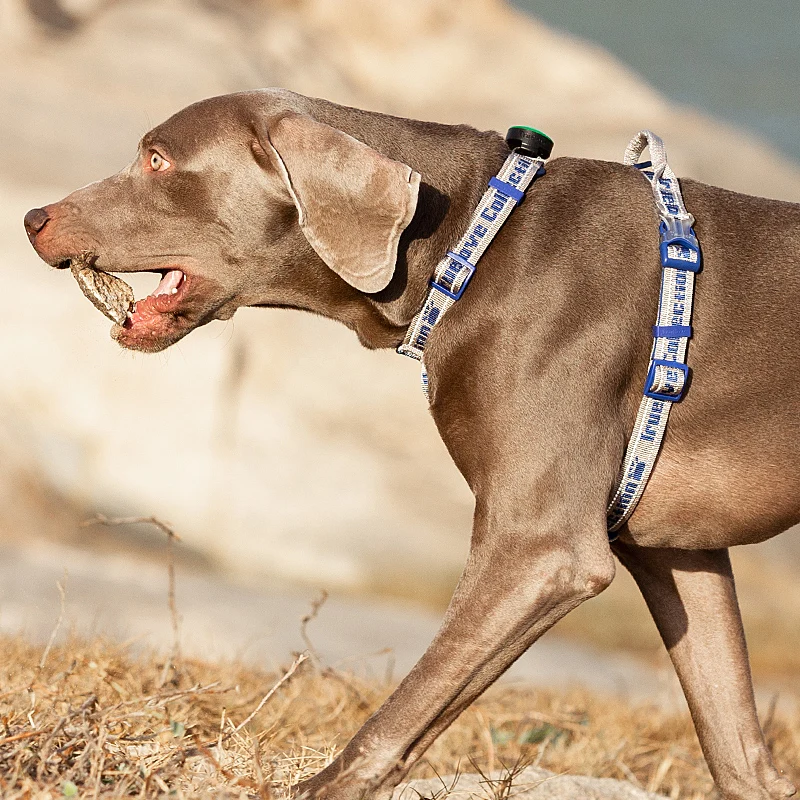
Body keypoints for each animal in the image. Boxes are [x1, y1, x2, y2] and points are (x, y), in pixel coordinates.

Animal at [23, 89, 800, 800]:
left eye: (157, 160)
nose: (33, 219)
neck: (475, 241)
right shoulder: (680, 551)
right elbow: (739, 753)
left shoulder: (542, 551)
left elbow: (395, 722)